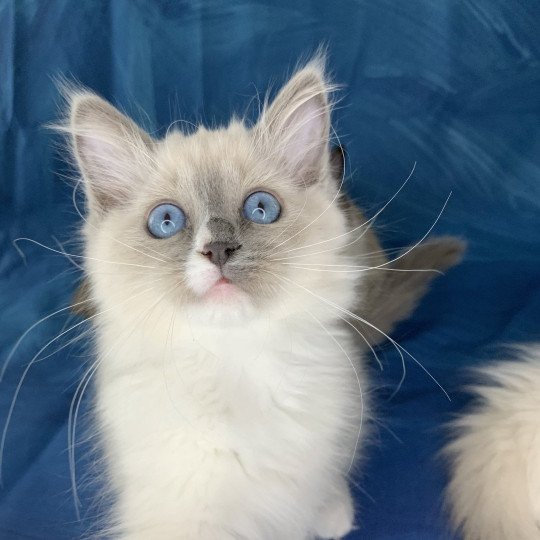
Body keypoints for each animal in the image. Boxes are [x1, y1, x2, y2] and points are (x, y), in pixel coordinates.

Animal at [64, 60, 464, 540]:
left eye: (260, 209)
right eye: (166, 221)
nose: (218, 249)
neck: (238, 363)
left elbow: (319, 479)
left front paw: (329, 510)